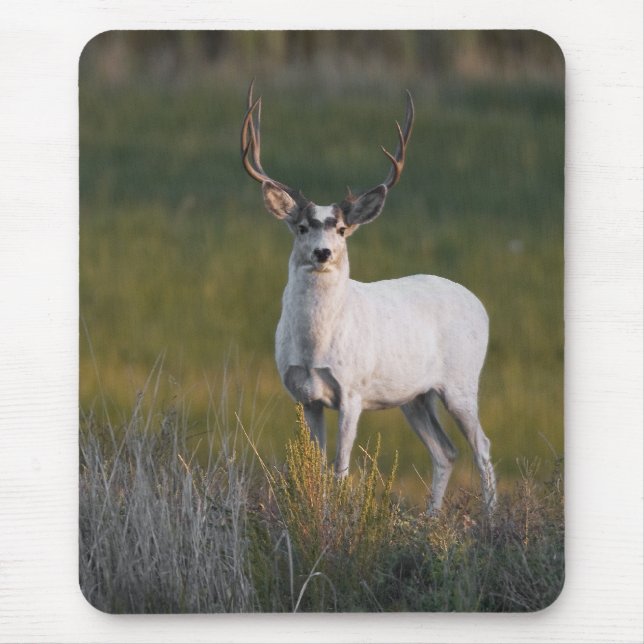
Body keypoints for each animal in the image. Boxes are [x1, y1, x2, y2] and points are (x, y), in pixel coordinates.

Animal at [240, 82, 496, 514]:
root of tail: (479, 303)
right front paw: (316, 511)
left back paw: (488, 516)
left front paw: (335, 518)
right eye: (302, 227)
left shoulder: (353, 391)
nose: (323, 252)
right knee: (445, 451)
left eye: (342, 229)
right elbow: (315, 466)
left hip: (461, 382)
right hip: (415, 396)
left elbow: (341, 469)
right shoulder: (305, 397)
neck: (315, 345)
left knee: (482, 446)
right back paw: (430, 519)